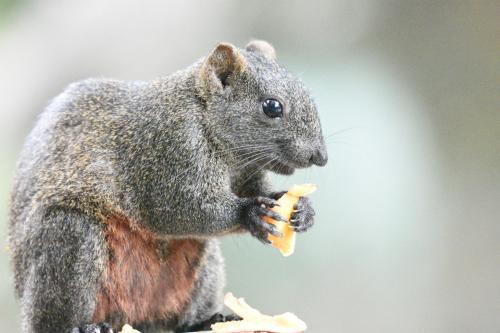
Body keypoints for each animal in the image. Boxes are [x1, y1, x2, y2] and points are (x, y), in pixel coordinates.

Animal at [8, 39, 328, 332]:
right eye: (272, 107)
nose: (321, 157)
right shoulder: (170, 153)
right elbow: (181, 210)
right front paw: (250, 213)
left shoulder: (248, 172)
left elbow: (259, 191)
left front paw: (304, 211)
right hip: (70, 239)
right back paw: (86, 327)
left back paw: (207, 321)